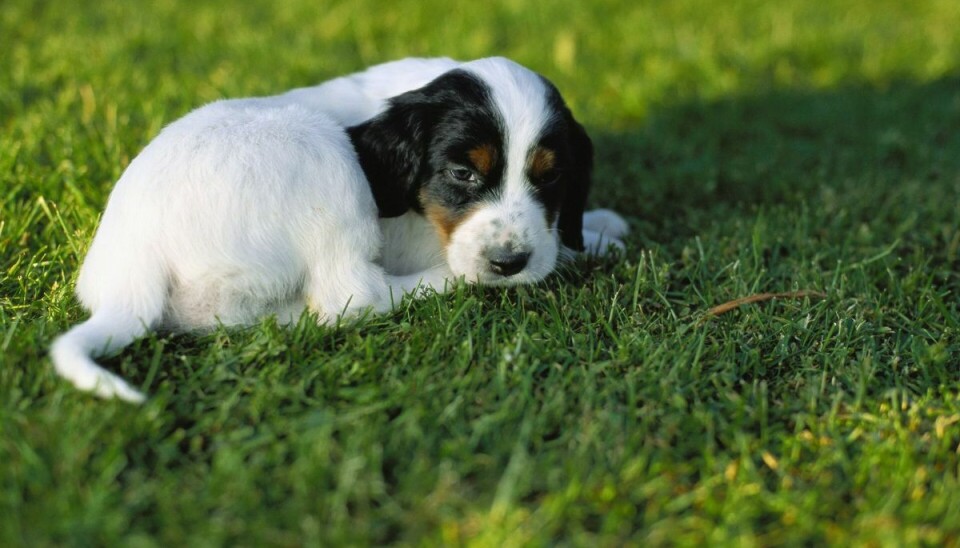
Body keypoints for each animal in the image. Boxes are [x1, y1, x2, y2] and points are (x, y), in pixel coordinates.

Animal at [50, 57, 632, 402]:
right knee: (353, 294)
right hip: (320, 151)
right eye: (463, 174)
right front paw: (587, 246)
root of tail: (130, 280)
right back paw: (447, 281)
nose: (508, 264)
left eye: (550, 176)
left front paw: (594, 227)